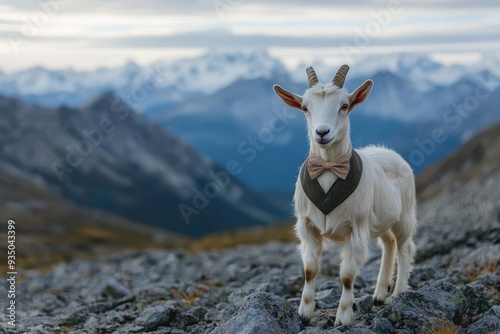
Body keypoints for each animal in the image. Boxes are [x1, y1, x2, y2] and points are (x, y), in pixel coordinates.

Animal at [274, 65, 418, 326]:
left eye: (344, 105)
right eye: (305, 108)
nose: (322, 132)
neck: (328, 168)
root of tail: (390, 152)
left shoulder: (357, 228)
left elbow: (347, 275)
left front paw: (343, 316)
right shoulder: (307, 226)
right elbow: (309, 270)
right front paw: (304, 313)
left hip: (405, 215)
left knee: (405, 248)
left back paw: (398, 293)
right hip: (382, 220)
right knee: (389, 244)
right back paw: (379, 294)